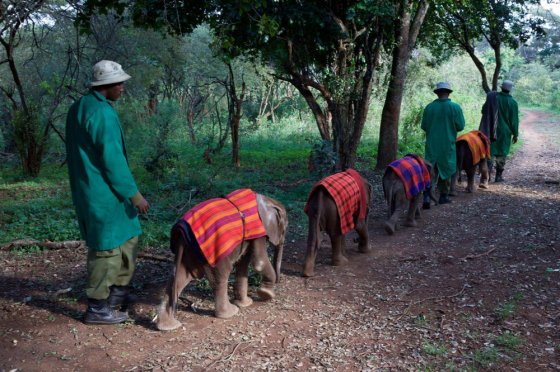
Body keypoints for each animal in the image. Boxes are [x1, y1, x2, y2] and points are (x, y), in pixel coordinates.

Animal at [158, 189, 288, 332]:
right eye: (284, 229)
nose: (279, 281)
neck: (267, 200)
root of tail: (180, 232)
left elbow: (243, 263)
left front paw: (246, 303)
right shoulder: (259, 229)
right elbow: (259, 262)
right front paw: (266, 294)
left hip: (188, 250)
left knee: (178, 278)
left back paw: (168, 326)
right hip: (213, 252)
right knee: (221, 276)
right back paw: (230, 313)